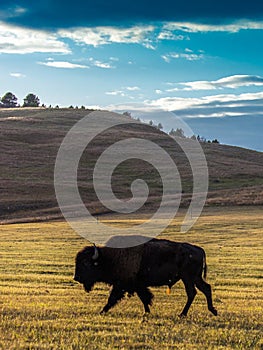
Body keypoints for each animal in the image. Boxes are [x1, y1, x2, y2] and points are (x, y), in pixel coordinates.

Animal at [74, 238, 219, 318]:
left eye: (86, 263)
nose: (76, 277)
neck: (109, 257)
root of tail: (198, 249)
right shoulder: (138, 286)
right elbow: (144, 298)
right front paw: (147, 312)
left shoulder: (122, 285)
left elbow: (112, 299)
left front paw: (102, 311)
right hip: (194, 278)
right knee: (205, 289)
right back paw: (213, 310)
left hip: (188, 278)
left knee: (192, 293)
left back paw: (182, 314)